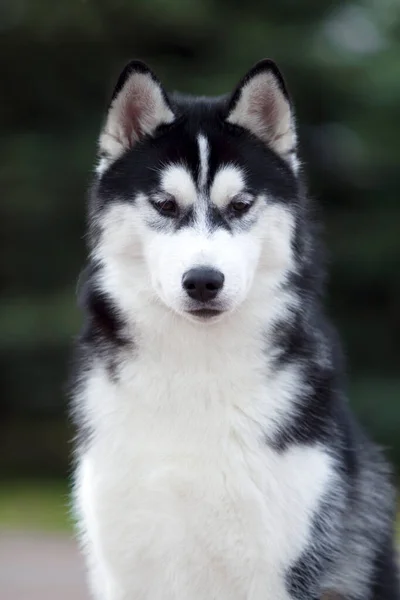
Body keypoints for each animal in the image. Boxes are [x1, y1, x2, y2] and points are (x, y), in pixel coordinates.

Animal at [72, 61, 400, 600]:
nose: (204, 280)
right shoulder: (125, 566)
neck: (196, 371)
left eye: (242, 203)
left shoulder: (279, 568)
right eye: (165, 204)